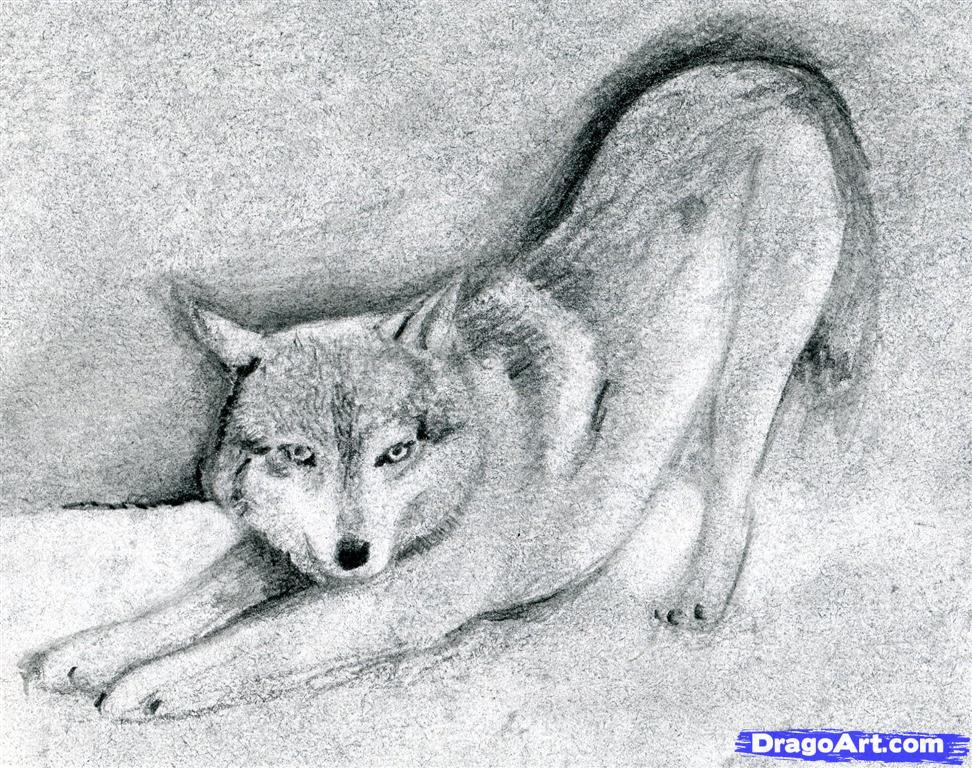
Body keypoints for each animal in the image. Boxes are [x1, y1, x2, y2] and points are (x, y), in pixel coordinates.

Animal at [20, 24, 874, 720]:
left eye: (395, 453)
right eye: (300, 456)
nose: (353, 555)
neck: (476, 449)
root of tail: (774, 70)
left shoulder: (394, 603)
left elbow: (257, 639)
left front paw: (141, 686)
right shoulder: (292, 551)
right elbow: (197, 598)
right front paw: (86, 652)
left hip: (757, 364)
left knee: (735, 488)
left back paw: (700, 596)